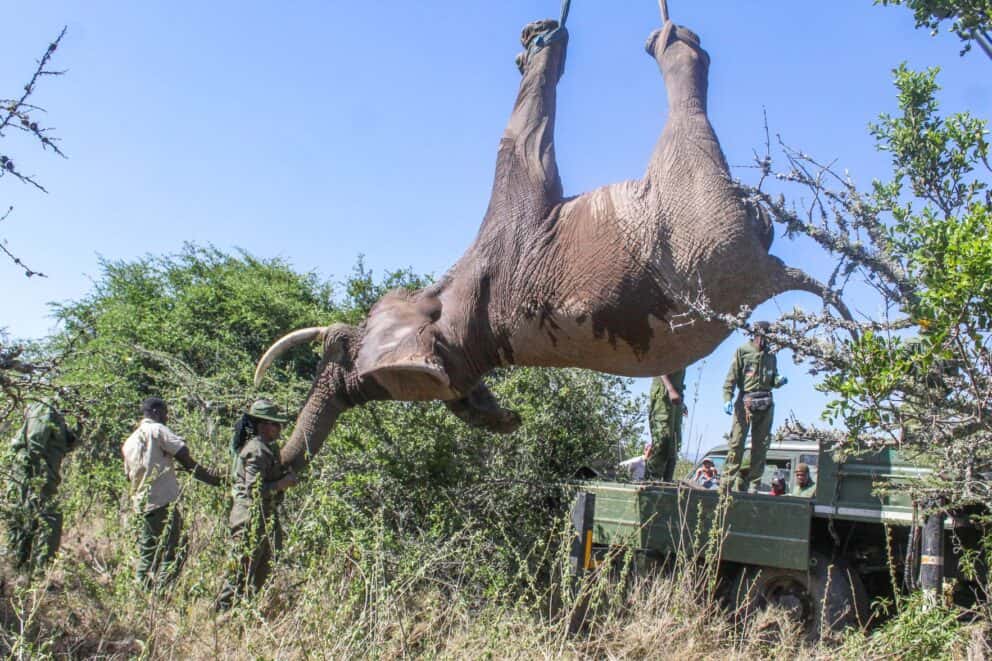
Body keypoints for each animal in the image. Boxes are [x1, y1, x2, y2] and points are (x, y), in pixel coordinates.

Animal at [255, 16, 850, 472]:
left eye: (343, 347)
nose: (267, 461)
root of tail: (767, 275)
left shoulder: (505, 228)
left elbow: (520, 138)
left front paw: (537, 40)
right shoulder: (512, 231)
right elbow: (525, 141)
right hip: (700, 217)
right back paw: (672, 43)